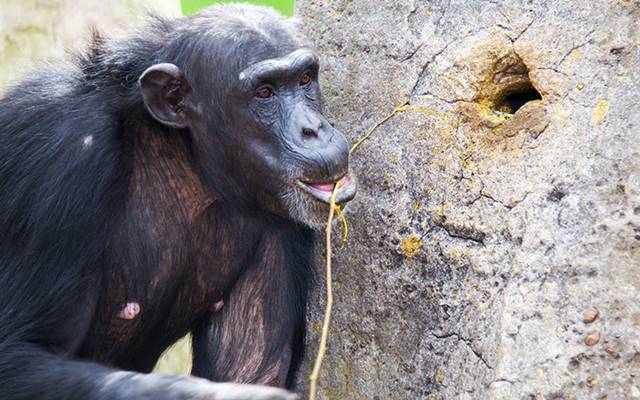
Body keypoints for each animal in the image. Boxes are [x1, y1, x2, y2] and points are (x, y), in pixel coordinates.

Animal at [0, 3, 356, 400]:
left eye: (305, 79)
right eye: (264, 93)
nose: (314, 129)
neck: (184, 156)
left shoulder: (281, 222)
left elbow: (252, 366)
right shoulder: (64, 157)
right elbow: (17, 353)